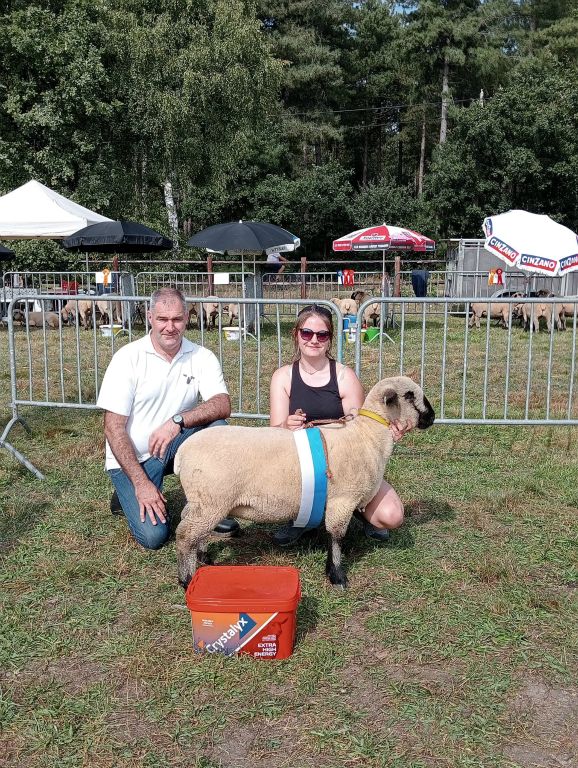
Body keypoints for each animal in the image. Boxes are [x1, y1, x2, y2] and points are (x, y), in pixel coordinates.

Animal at [174, 375, 435, 590]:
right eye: (411, 396)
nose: (432, 417)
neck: (367, 436)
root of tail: (182, 453)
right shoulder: (343, 499)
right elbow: (336, 537)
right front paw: (337, 575)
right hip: (212, 500)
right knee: (185, 534)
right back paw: (187, 580)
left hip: (202, 501)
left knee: (191, 527)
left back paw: (203, 557)